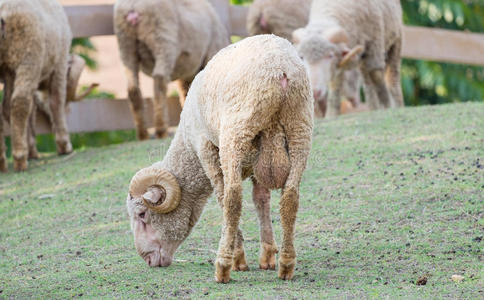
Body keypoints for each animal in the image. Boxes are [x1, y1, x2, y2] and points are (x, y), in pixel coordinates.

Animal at [0, 0, 73, 171]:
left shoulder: (9, 72)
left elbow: (30, 112)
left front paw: (32, 149)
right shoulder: (59, 64)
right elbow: (56, 102)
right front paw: (64, 144)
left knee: (12, 106)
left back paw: (3, 161)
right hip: (29, 54)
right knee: (20, 102)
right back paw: (19, 158)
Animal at [116, 0, 232, 140]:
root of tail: (133, 6)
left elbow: (186, 92)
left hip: (126, 46)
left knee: (133, 88)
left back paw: (143, 134)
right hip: (163, 39)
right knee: (159, 80)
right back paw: (161, 130)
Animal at [125, 35, 314, 284]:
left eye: (142, 214)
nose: (147, 259)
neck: (188, 148)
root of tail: (281, 72)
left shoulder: (205, 149)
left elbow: (223, 197)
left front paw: (239, 259)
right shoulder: (256, 163)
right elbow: (261, 199)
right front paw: (267, 256)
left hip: (235, 134)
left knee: (233, 199)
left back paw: (223, 266)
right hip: (299, 129)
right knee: (290, 197)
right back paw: (286, 265)